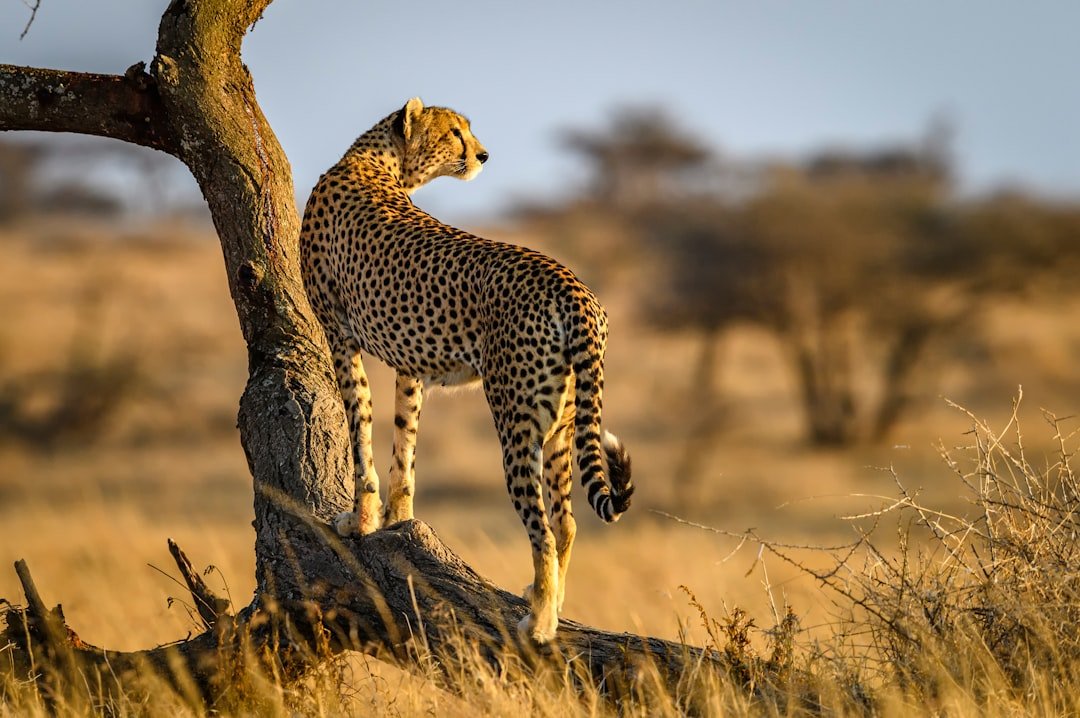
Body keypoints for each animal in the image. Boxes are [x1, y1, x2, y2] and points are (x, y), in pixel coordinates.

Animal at [299, 97, 634, 644]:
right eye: (455, 131)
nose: (482, 154)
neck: (375, 161)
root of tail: (574, 287)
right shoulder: (409, 363)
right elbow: (404, 442)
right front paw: (399, 518)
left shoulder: (340, 334)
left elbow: (360, 431)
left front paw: (360, 520)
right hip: (564, 423)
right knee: (566, 522)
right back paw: (551, 601)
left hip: (516, 422)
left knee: (542, 527)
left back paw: (540, 621)